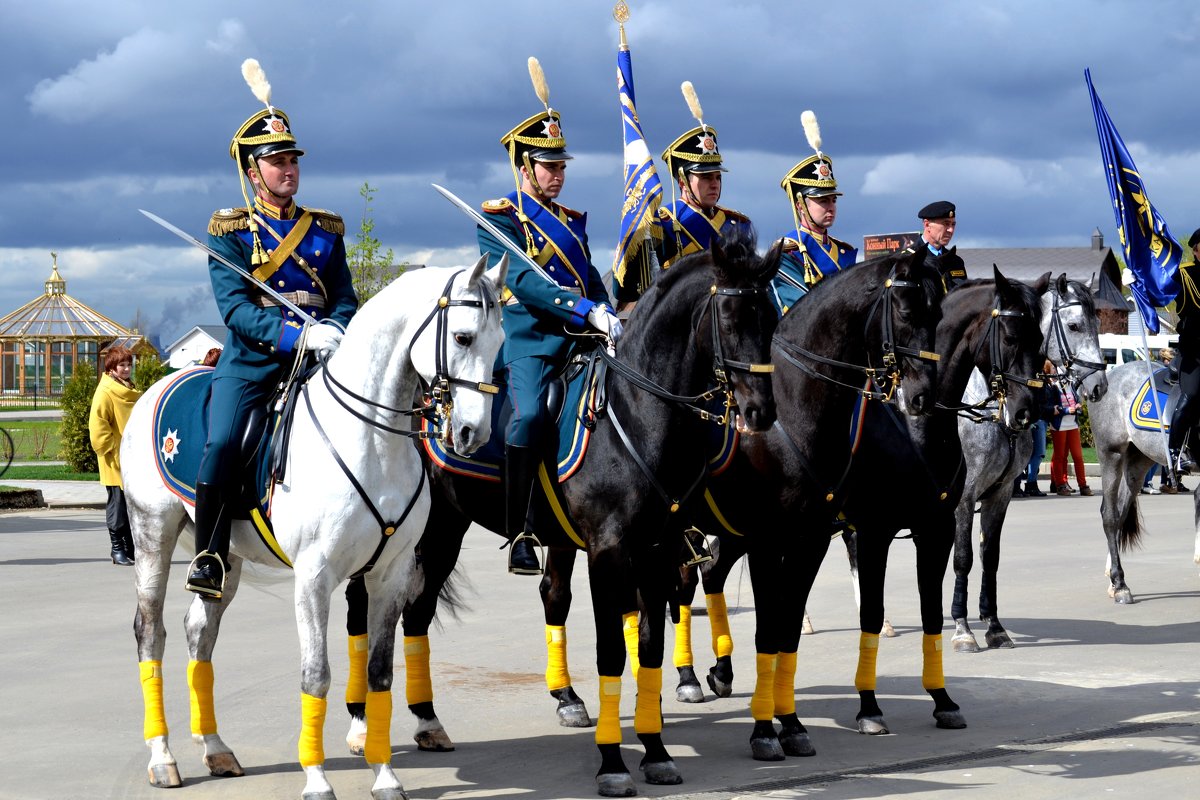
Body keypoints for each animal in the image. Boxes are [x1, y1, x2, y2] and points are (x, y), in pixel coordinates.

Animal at [125, 257, 506, 800]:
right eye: (463, 336)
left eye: (500, 341)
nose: (473, 434)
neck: (372, 439)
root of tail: (157, 387)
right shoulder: (314, 576)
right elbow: (316, 675)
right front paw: (317, 779)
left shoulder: (389, 575)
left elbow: (378, 674)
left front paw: (385, 775)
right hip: (151, 532)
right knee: (150, 632)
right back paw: (163, 757)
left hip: (224, 554)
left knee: (199, 629)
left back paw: (216, 749)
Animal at [348, 227, 782, 796]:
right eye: (730, 318)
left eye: (771, 318)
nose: (761, 412)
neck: (638, 413)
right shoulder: (609, 551)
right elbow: (611, 652)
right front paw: (614, 762)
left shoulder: (659, 549)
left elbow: (649, 649)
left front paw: (656, 750)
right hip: (425, 532)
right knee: (383, 607)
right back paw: (368, 724)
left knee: (432, 610)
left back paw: (433, 721)